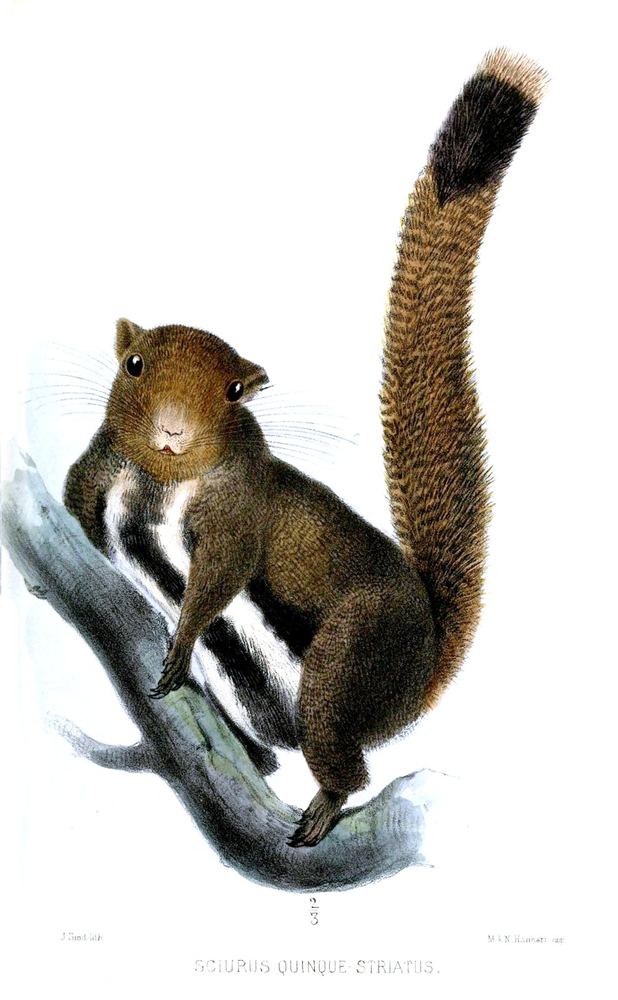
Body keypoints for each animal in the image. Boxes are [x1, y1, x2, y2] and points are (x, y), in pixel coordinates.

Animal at [63, 49, 546, 847]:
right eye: (133, 365)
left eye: (236, 392)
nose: (172, 429)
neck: (165, 483)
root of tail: (421, 675)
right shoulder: (100, 464)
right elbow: (75, 499)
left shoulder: (240, 511)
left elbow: (219, 576)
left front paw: (182, 641)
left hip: (346, 662)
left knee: (345, 758)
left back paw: (323, 805)